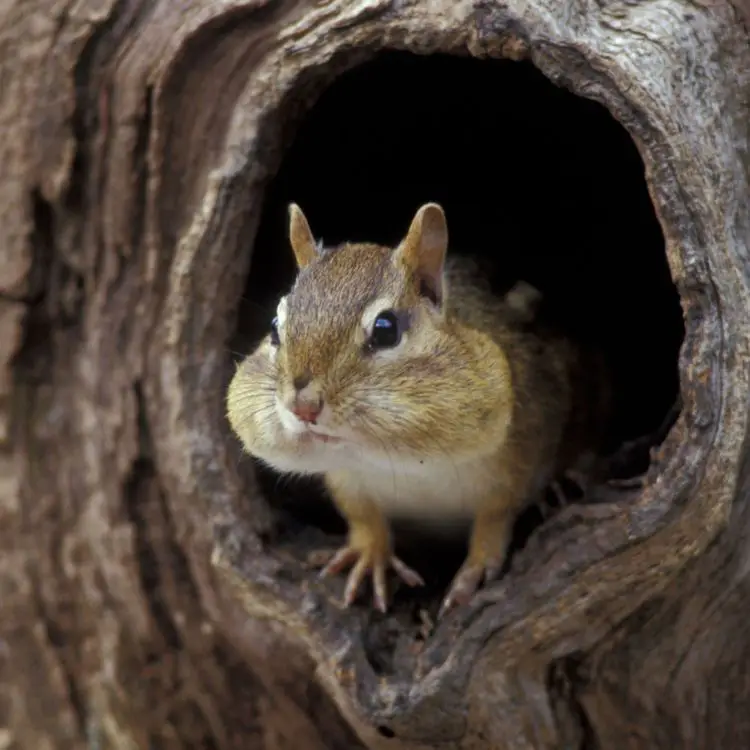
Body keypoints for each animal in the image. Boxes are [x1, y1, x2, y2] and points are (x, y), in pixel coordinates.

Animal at [226, 202, 612, 616]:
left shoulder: (524, 449)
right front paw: (370, 554)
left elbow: (496, 517)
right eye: (274, 327)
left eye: (386, 329)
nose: (303, 407)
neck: (397, 460)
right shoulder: (347, 478)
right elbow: (362, 516)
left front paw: (476, 567)